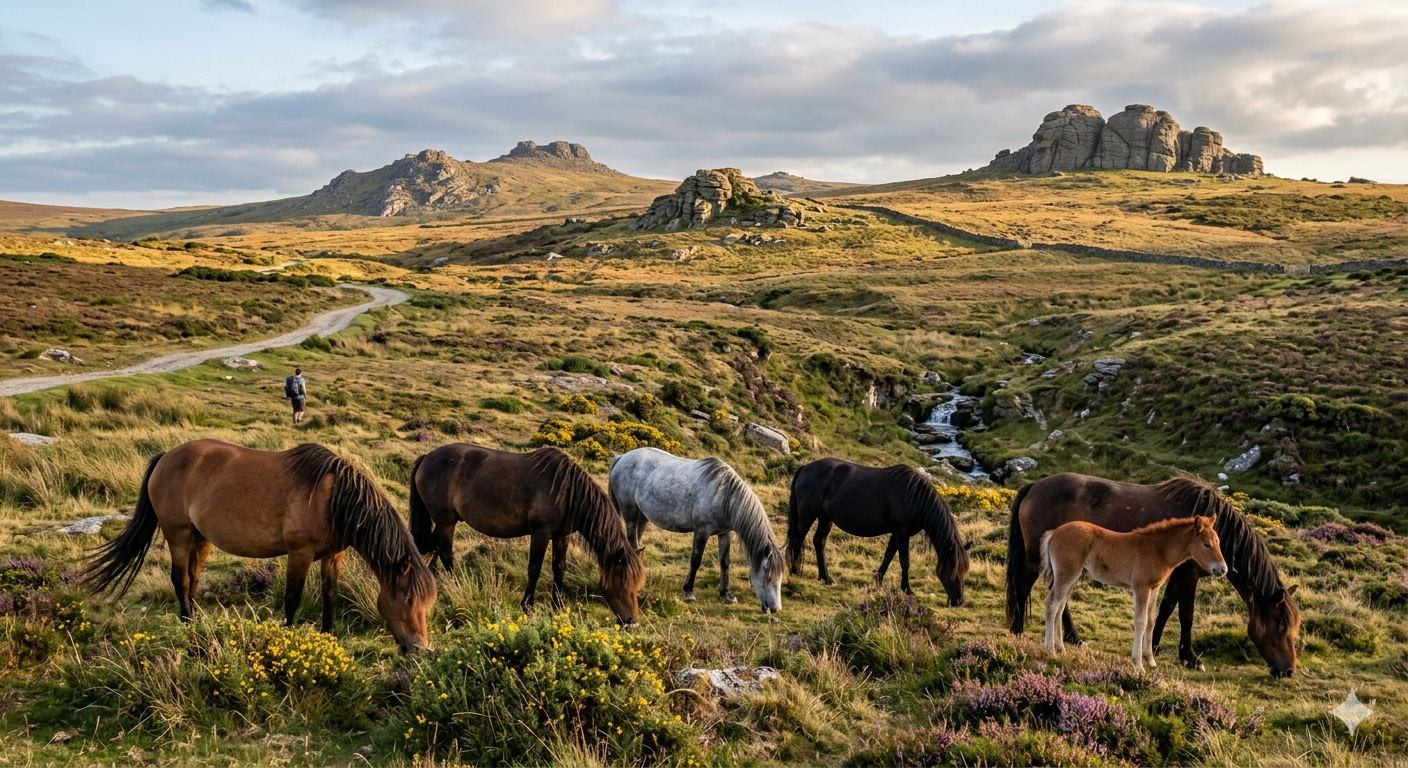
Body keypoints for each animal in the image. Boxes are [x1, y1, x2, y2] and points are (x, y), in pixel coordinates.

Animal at [84, 440, 437, 653]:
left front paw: (328, 637)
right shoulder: (300, 554)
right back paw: (187, 626)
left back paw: (198, 622)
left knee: (193, 579)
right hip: (178, 534)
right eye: (408, 600)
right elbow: (292, 600)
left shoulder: (333, 555)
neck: (334, 500)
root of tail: (166, 456)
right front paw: (288, 639)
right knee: (181, 580)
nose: (418, 650)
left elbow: (330, 596)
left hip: (202, 538)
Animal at [409, 445, 644, 626]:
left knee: (433, 549)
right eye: (622, 583)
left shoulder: (562, 536)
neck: (566, 491)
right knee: (446, 555)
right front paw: (528, 607)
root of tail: (426, 457)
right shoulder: (540, 533)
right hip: (445, 521)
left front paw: (558, 607)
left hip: (445, 521)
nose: (632, 622)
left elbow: (559, 568)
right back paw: (459, 590)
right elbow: (534, 569)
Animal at [609, 447, 783, 613]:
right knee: (632, 543)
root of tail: (621, 457)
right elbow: (695, 561)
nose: (775, 608)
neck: (722, 496)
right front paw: (689, 592)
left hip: (642, 516)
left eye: (780, 576)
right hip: (630, 513)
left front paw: (727, 594)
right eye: (767, 575)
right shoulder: (701, 532)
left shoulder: (724, 533)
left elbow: (725, 562)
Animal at [786, 458, 970, 605]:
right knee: (797, 539)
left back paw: (825, 577)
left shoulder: (897, 533)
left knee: (819, 542)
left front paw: (878, 580)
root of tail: (805, 467)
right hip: (807, 516)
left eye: (964, 571)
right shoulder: (902, 532)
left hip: (825, 518)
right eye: (953, 571)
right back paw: (795, 571)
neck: (916, 498)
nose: (959, 601)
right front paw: (907, 589)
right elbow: (904, 562)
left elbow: (889, 554)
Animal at [1041, 516, 1226, 670]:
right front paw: (1138, 664)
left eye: (1218, 541)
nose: (1222, 569)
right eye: (1206, 544)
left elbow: (1151, 619)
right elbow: (1141, 621)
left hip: (1073, 578)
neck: (1158, 550)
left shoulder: (1154, 588)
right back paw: (1050, 650)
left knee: (1060, 606)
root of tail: (1055, 532)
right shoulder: (1141, 587)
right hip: (1067, 575)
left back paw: (1061, 649)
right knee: (1051, 603)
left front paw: (1150, 660)